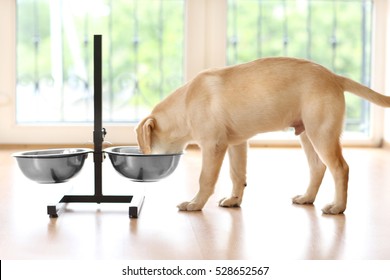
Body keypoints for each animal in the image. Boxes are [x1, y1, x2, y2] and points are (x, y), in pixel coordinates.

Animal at [135, 57, 390, 214]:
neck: (187, 103)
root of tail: (334, 77)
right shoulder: (237, 144)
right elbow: (237, 175)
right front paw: (234, 200)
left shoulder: (213, 145)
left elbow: (205, 179)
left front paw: (195, 203)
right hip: (308, 134)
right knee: (318, 167)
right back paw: (307, 198)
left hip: (322, 134)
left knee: (340, 169)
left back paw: (338, 207)